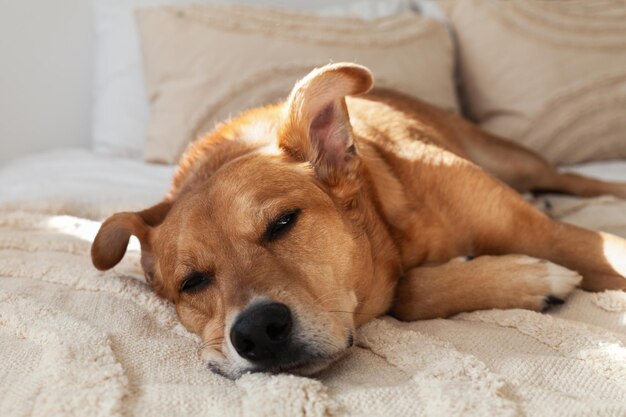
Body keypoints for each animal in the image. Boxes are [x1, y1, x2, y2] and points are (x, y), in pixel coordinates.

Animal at [90, 61, 624, 376]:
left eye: (283, 222)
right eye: (193, 282)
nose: (257, 331)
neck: (394, 227)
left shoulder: (553, 235)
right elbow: (409, 292)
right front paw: (525, 277)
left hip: (518, 161)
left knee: (573, 178)